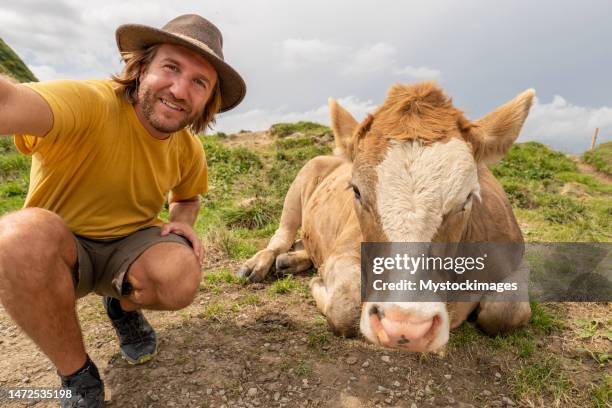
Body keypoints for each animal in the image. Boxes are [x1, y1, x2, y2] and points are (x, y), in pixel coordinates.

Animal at [237, 82, 532, 350]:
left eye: (468, 197)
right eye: (356, 191)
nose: (405, 326)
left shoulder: (517, 258)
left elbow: (506, 310)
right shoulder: (345, 251)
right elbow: (345, 306)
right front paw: (318, 284)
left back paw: (291, 260)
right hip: (303, 178)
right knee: (282, 235)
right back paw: (260, 263)